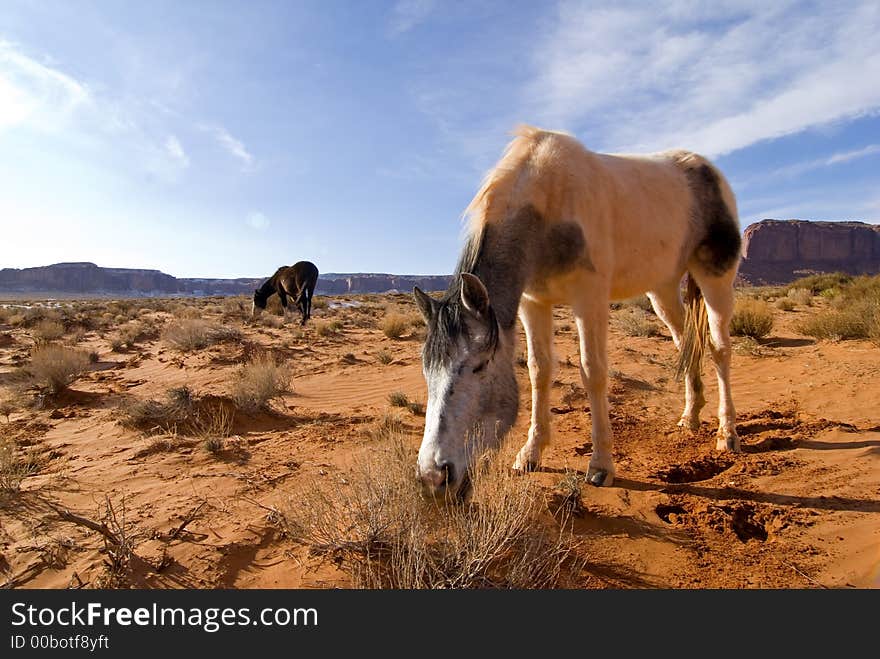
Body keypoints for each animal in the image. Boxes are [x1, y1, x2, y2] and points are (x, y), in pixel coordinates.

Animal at [414, 124, 744, 498]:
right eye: (426, 369)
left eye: (479, 366)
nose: (433, 475)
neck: (547, 207)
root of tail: (708, 170)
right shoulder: (533, 303)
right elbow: (538, 370)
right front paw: (531, 453)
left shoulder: (590, 298)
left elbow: (593, 372)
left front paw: (601, 465)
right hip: (662, 289)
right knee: (685, 344)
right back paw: (690, 417)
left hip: (716, 278)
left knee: (719, 349)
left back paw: (727, 433)